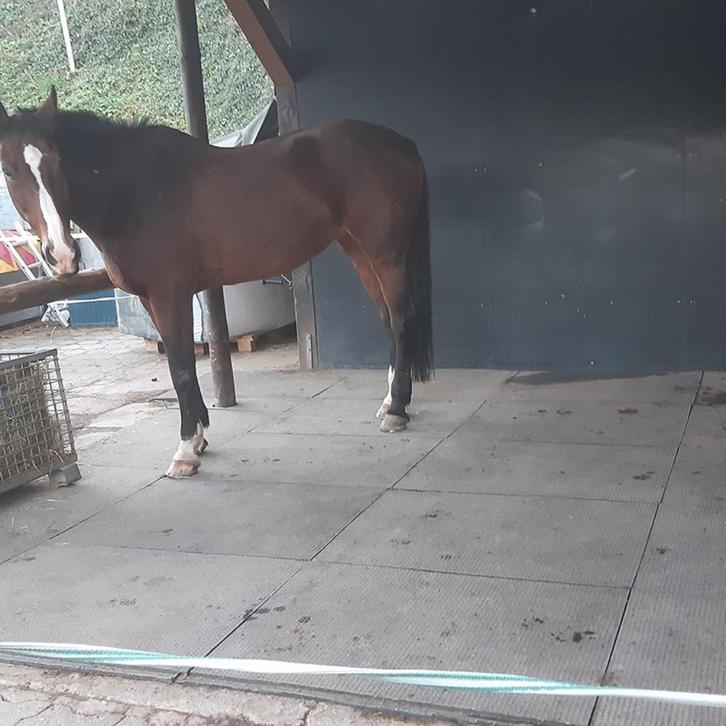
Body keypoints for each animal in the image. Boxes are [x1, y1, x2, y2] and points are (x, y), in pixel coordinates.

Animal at [0, 88, 433, 478]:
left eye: (58, 163)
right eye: (8, 169)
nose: (62, 255)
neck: (135, 191)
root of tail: (401, 143)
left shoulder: (169, 295)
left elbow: (181, 368)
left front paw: (185, 451)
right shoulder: (151, 299)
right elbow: (182, 367)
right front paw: (200, 439)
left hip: (387, 255)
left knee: (400, 321)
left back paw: (397, 410)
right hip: (359, 252)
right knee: (388, 321)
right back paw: (388, 400)